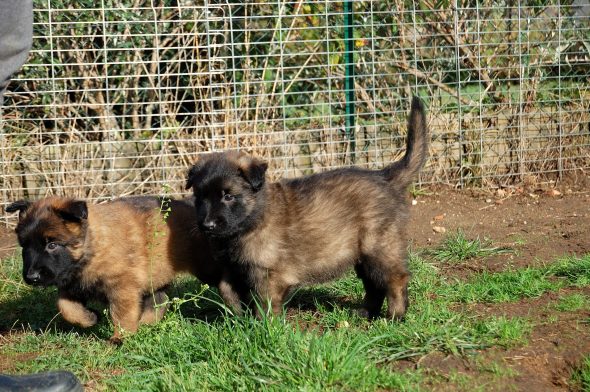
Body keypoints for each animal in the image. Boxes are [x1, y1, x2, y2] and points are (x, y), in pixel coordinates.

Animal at [7, 196, 220, 344]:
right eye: (24, 246)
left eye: (52, 245)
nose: (31, 277)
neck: (91, 249)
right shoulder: (71, 285)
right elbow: (65, 307)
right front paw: (89, 318)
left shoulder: (122, 287)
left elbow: (121, 315)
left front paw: (120, 338)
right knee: (160, 300)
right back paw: (145, 324)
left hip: (207, 269)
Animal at [186, 96, 430, 320]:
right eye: (199, 197)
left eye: (228, 196)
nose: (207, 225)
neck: (251, 220)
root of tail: (385, 176)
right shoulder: (233, 268)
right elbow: (226, 290)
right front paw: (238, 315)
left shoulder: (268, 275)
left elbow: (264, 303)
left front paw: (263, 328)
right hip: (362, 255)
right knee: (373, 284)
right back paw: (365, 313)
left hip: (378, 247)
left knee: (395, 279)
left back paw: (395, 316)